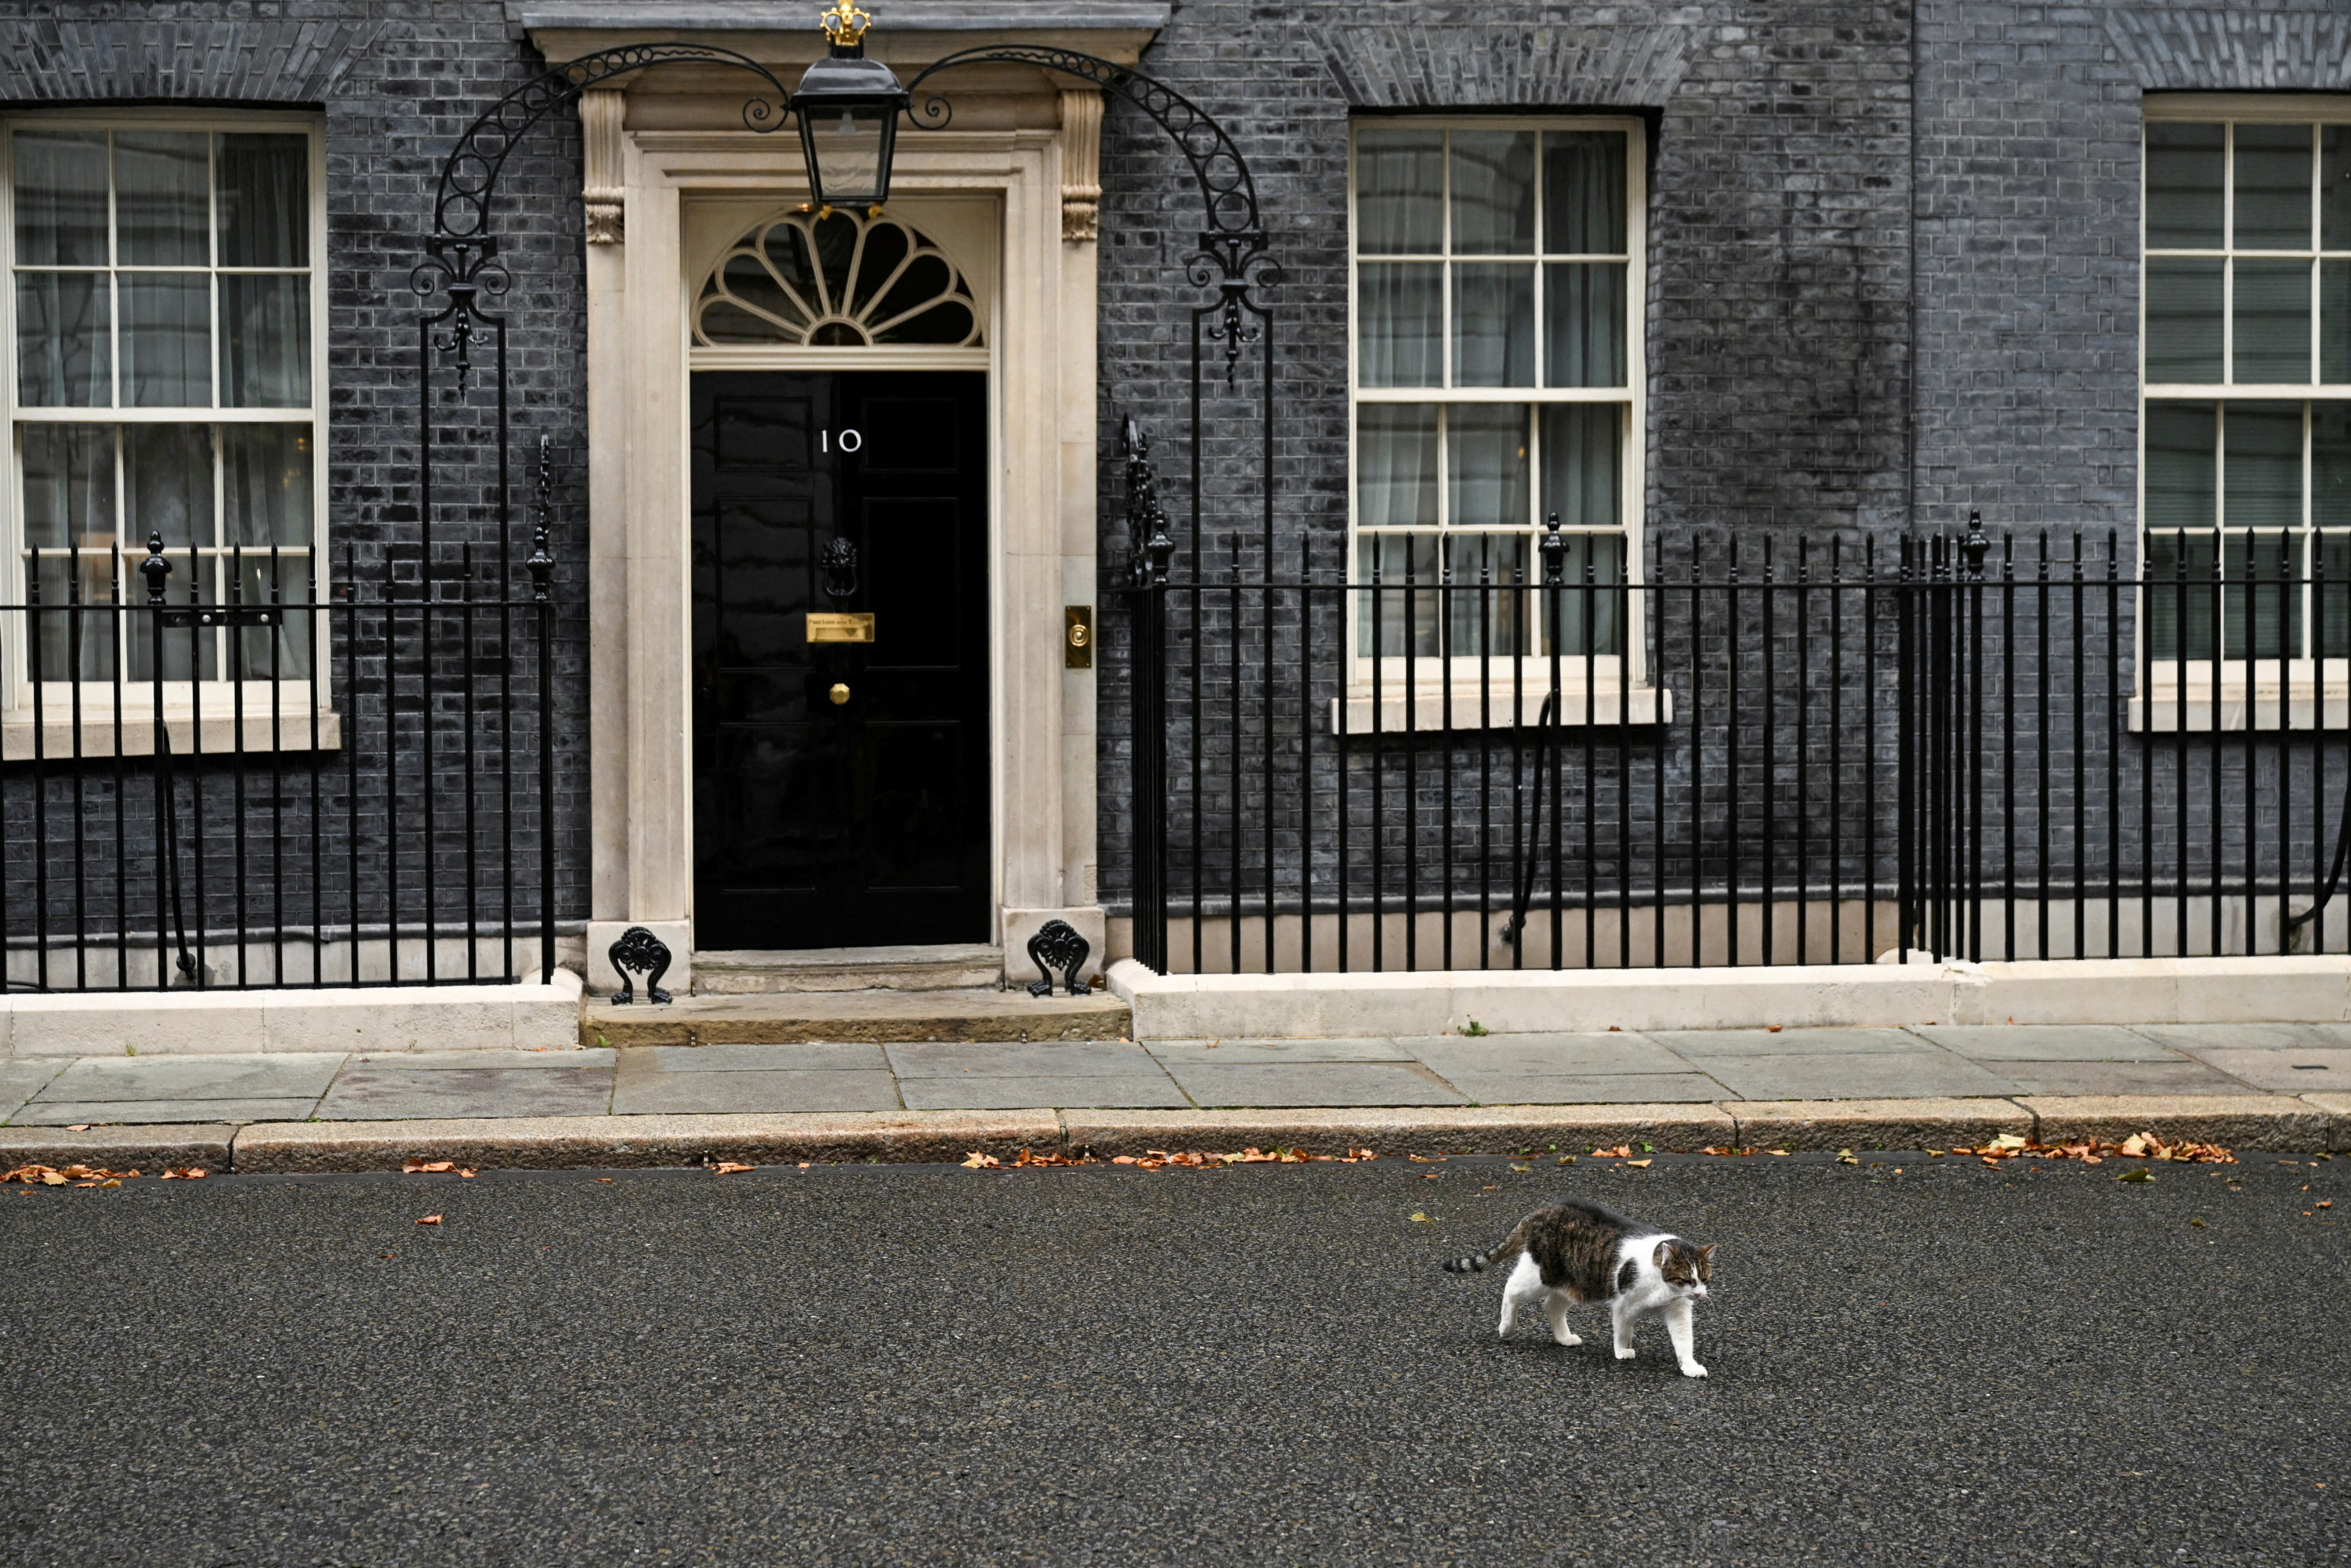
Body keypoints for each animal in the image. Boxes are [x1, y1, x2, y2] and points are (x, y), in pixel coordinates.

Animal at [1439, 1204, 1721, 1373]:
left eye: (1705, 1279)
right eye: (1686, 1279)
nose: (1699, 1294)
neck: (1665, 1290)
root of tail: (1544, 1210)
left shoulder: (1679, 1310)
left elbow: (1684, 1340)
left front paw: (1689, 1366)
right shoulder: (1624, 1305)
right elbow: (1623, 1330)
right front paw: (1622, 1351)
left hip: (1576, 1282)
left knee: (1552, 1306)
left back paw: (1564, 1337)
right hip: (1542, 1274)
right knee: (1511, 1289)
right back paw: (1506, 1326)